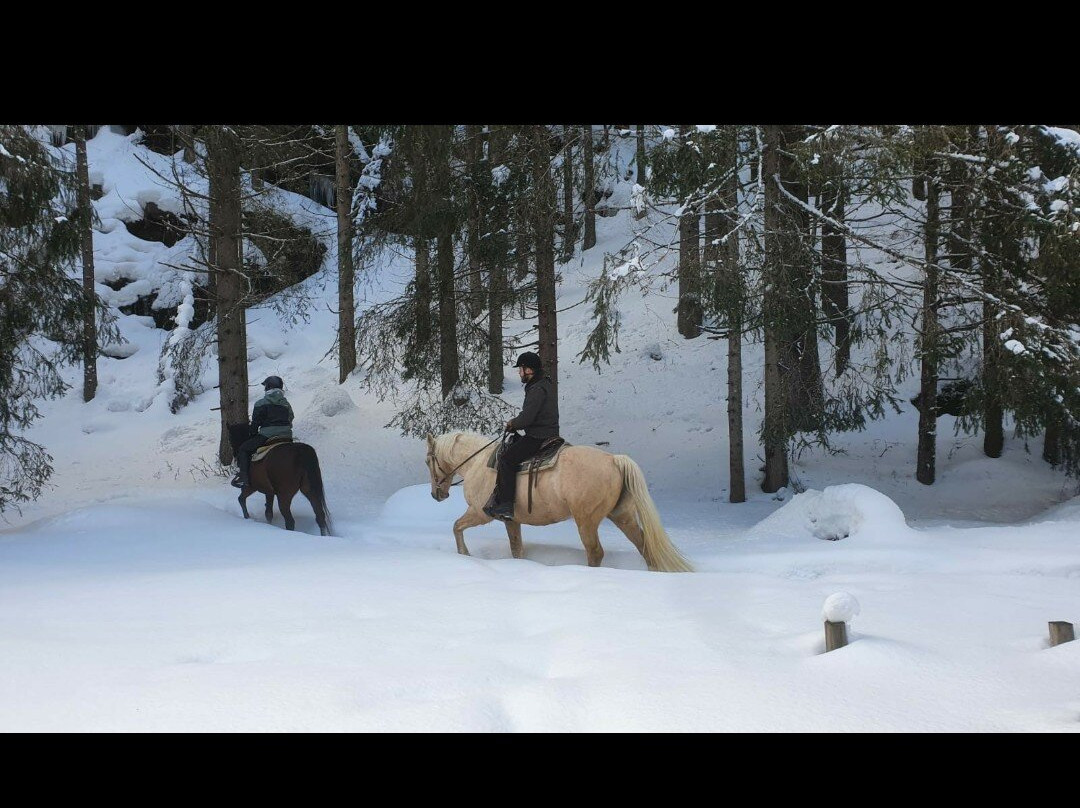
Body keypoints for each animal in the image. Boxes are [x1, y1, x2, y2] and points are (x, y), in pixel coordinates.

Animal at [421, 432, 691, 570]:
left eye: (427, 460)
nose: (437, 494)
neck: (478, 462)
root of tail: (614, 459)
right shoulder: (511, 520)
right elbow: (517, 549)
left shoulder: (479, 512)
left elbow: (456, 527)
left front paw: (464, 555)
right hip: (622, 517)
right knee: (644, 546)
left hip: (586, 521)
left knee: (595, 552)